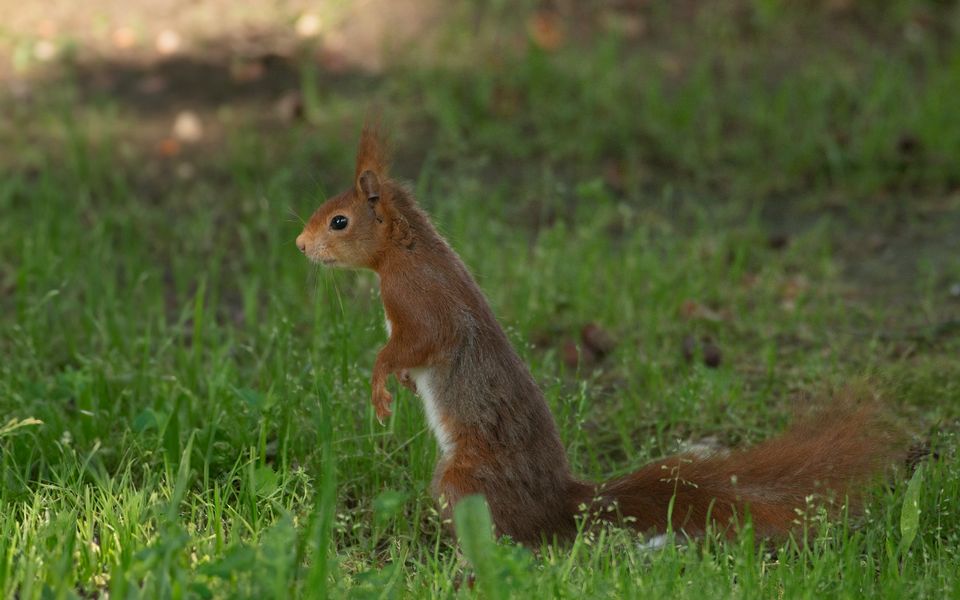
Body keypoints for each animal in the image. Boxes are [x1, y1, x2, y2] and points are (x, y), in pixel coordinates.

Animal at [296, 125, 904, 544]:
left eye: (339, 222)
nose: (300, 246)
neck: (404, 252)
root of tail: (559, 504)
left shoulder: (421, 306)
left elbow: (415, 344)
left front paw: (380, 383)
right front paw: (396, 384)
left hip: (463, 479)